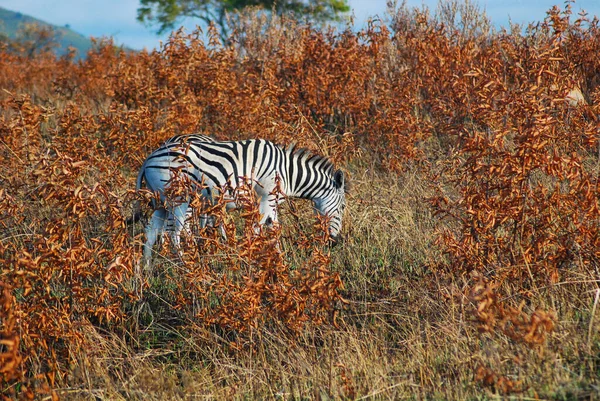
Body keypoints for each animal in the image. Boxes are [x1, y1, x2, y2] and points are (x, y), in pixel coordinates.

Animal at [131, 134, 346, 264]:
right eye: (343, 207)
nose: (334, 243)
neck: (286, 173)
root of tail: (149, 158)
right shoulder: (265, 199)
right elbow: (258, 229)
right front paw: (251, 257)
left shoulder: (271, 203)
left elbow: (274, 229)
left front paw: (279, 259)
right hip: (180, 198)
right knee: (175, 232)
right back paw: (189, 263)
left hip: (162, 201)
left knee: (152, 231)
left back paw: (147, 269)